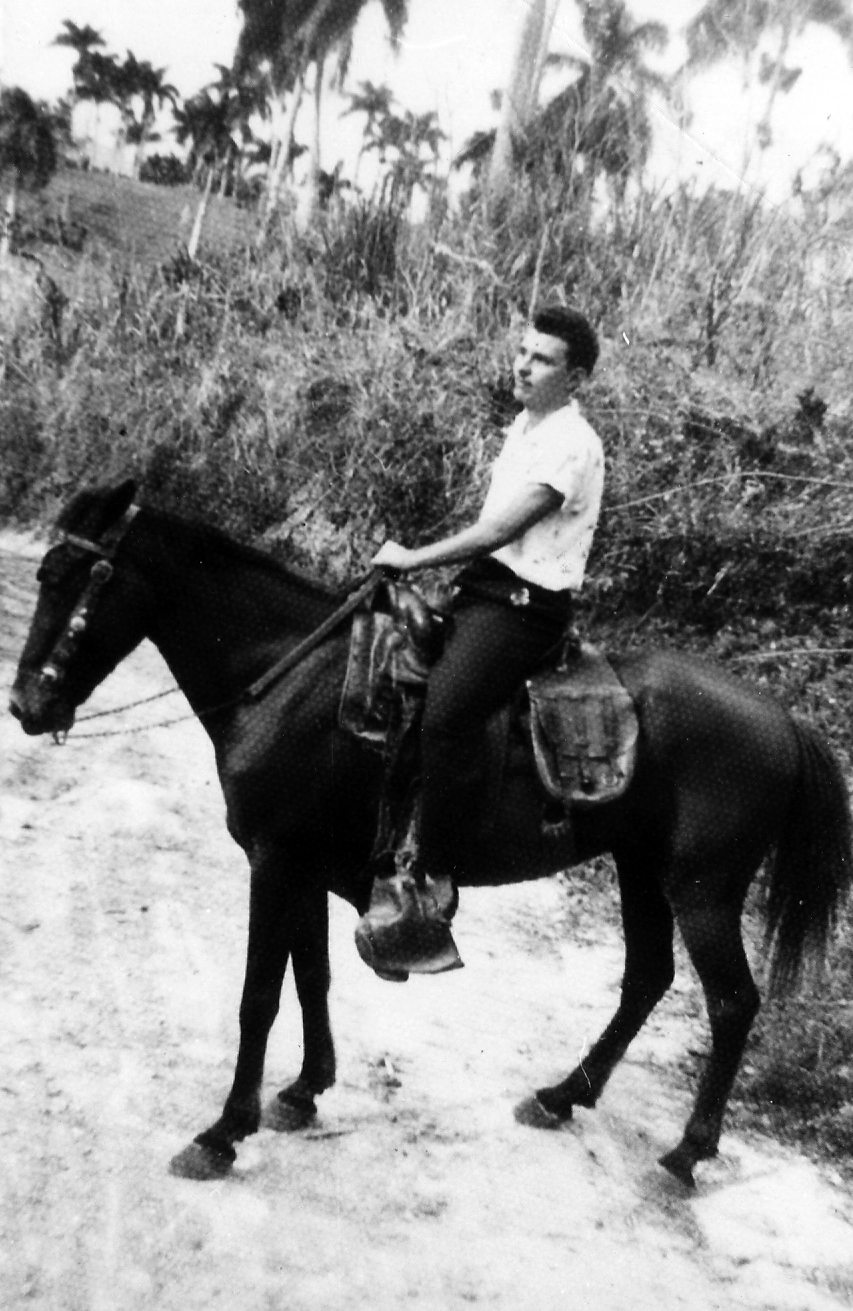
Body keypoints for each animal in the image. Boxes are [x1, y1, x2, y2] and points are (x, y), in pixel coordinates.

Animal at [9, 480, 852, 1188]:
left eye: (67, 575)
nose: (24, 705)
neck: (288, 679)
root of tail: (781, 718)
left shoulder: (274, 860)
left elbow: (258, 995)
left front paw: (222, 1132)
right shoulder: (300, 863)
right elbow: (310, 976)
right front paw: (304, 1089)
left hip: (701, 888)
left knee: (732, 1001)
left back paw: (684, 1152)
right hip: (640, 866)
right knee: (646, 976)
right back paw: (561, 1095)